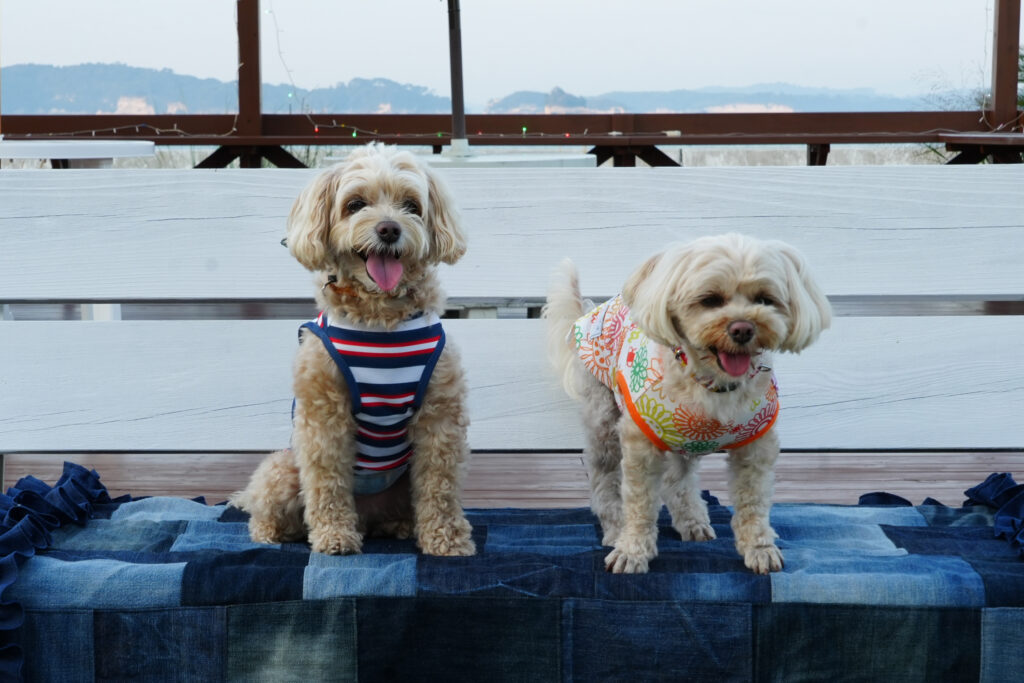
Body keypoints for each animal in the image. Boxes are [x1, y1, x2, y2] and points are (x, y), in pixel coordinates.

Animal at [231, 143, 475, 557]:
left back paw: (399, 525)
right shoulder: (324, 417)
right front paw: (334, 537)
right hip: (282, 469)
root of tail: (369, 513)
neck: (380, 319)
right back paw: (273, 533)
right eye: (355, 204)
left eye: (411, 205)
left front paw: (446, 539)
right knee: (267, 509)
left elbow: (439, 486)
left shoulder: (439, 416)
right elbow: (327, 484)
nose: (389, 229)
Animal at [543, 233, 831, 573]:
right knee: (605, 478)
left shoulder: (757, 444)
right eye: (710, 299)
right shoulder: (640, 443)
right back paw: (614, 529)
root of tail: (588, 311)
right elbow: (639, 503)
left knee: (675, 478)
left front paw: (760, 549)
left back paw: (693, 521)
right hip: (603, 420)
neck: (712, 383)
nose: (743, 328)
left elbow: (754, 501)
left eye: (764, 299)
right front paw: (631, 551)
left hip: (684, 438)